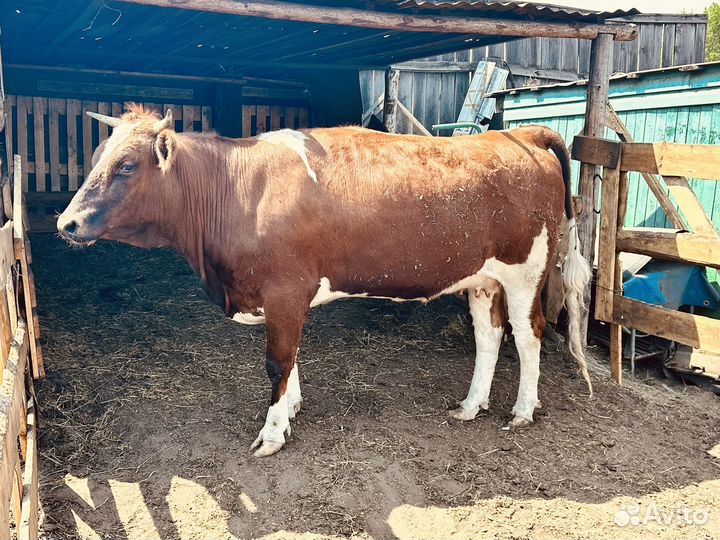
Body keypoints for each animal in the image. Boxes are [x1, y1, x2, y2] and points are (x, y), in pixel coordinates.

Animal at [57, 105, 592, 457]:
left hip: (525, 271)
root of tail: (521, 133)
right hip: (482, 277)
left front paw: (273, 432)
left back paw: (522, 410)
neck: (234, 187)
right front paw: (292, 409)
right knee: (488, 335)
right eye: (96, 157)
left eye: (127, 165)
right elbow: (292, 357)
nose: (67, 223)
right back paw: (471, 404)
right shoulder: (285, 297)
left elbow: (277, 362)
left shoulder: (284, 290)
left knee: (529, 335)